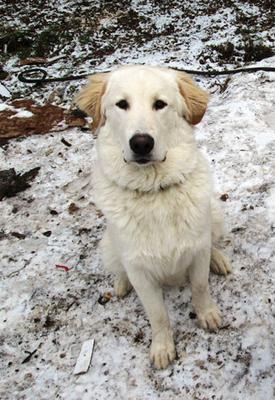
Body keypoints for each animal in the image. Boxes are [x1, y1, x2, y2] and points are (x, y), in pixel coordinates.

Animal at [76, 65, 233, 368]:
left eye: (160, 104)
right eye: (122, 104)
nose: (141, 143)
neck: (154, 191)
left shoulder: (196, 251)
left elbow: (200, 286)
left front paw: (206, 313)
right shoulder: (140, 270)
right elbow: (157, 314)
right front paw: (162, 347)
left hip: (214, 212)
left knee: (212, 241)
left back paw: (218, 258)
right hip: (108, 245)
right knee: (118, 268)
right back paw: (121, 283)